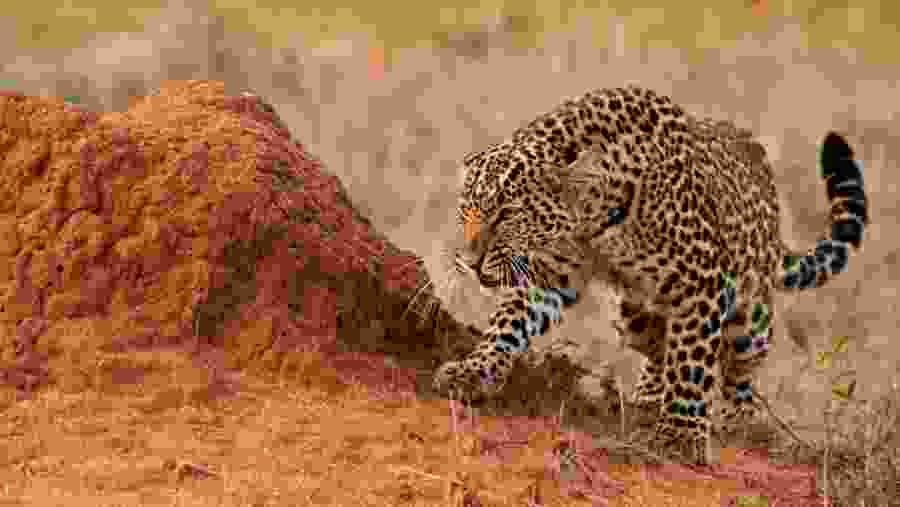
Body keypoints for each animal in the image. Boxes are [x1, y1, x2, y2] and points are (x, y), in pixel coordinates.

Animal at [427, 85, 869, 464]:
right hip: (634, 313)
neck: (592, 218)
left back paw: (733, 421)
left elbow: (691, 361)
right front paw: (474, 371)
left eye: (508, 214)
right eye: (465, 210)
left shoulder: (702, 281)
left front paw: (682, 434)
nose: (469, 261)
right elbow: (507, 324)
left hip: (749, 315)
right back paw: (647, 396)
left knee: (743, 363)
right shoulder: (551, 275)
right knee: (659, 345)